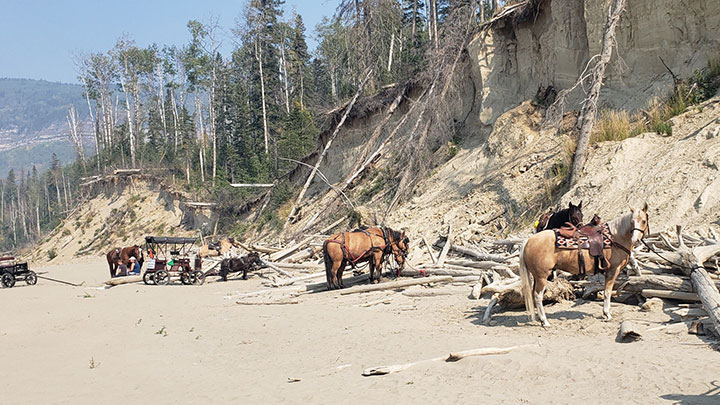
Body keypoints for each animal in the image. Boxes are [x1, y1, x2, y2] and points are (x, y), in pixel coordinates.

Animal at [519, 204, 649, 327]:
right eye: (632, 221)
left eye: (643, 221)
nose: (635, 239)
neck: (615, 237)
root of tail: (529, 240)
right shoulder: (613, 271)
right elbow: (607, 292)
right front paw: (607, 314)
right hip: (542, 276)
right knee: (538, 296)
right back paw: (545, 321)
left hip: (536, 276)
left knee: (533, 295)